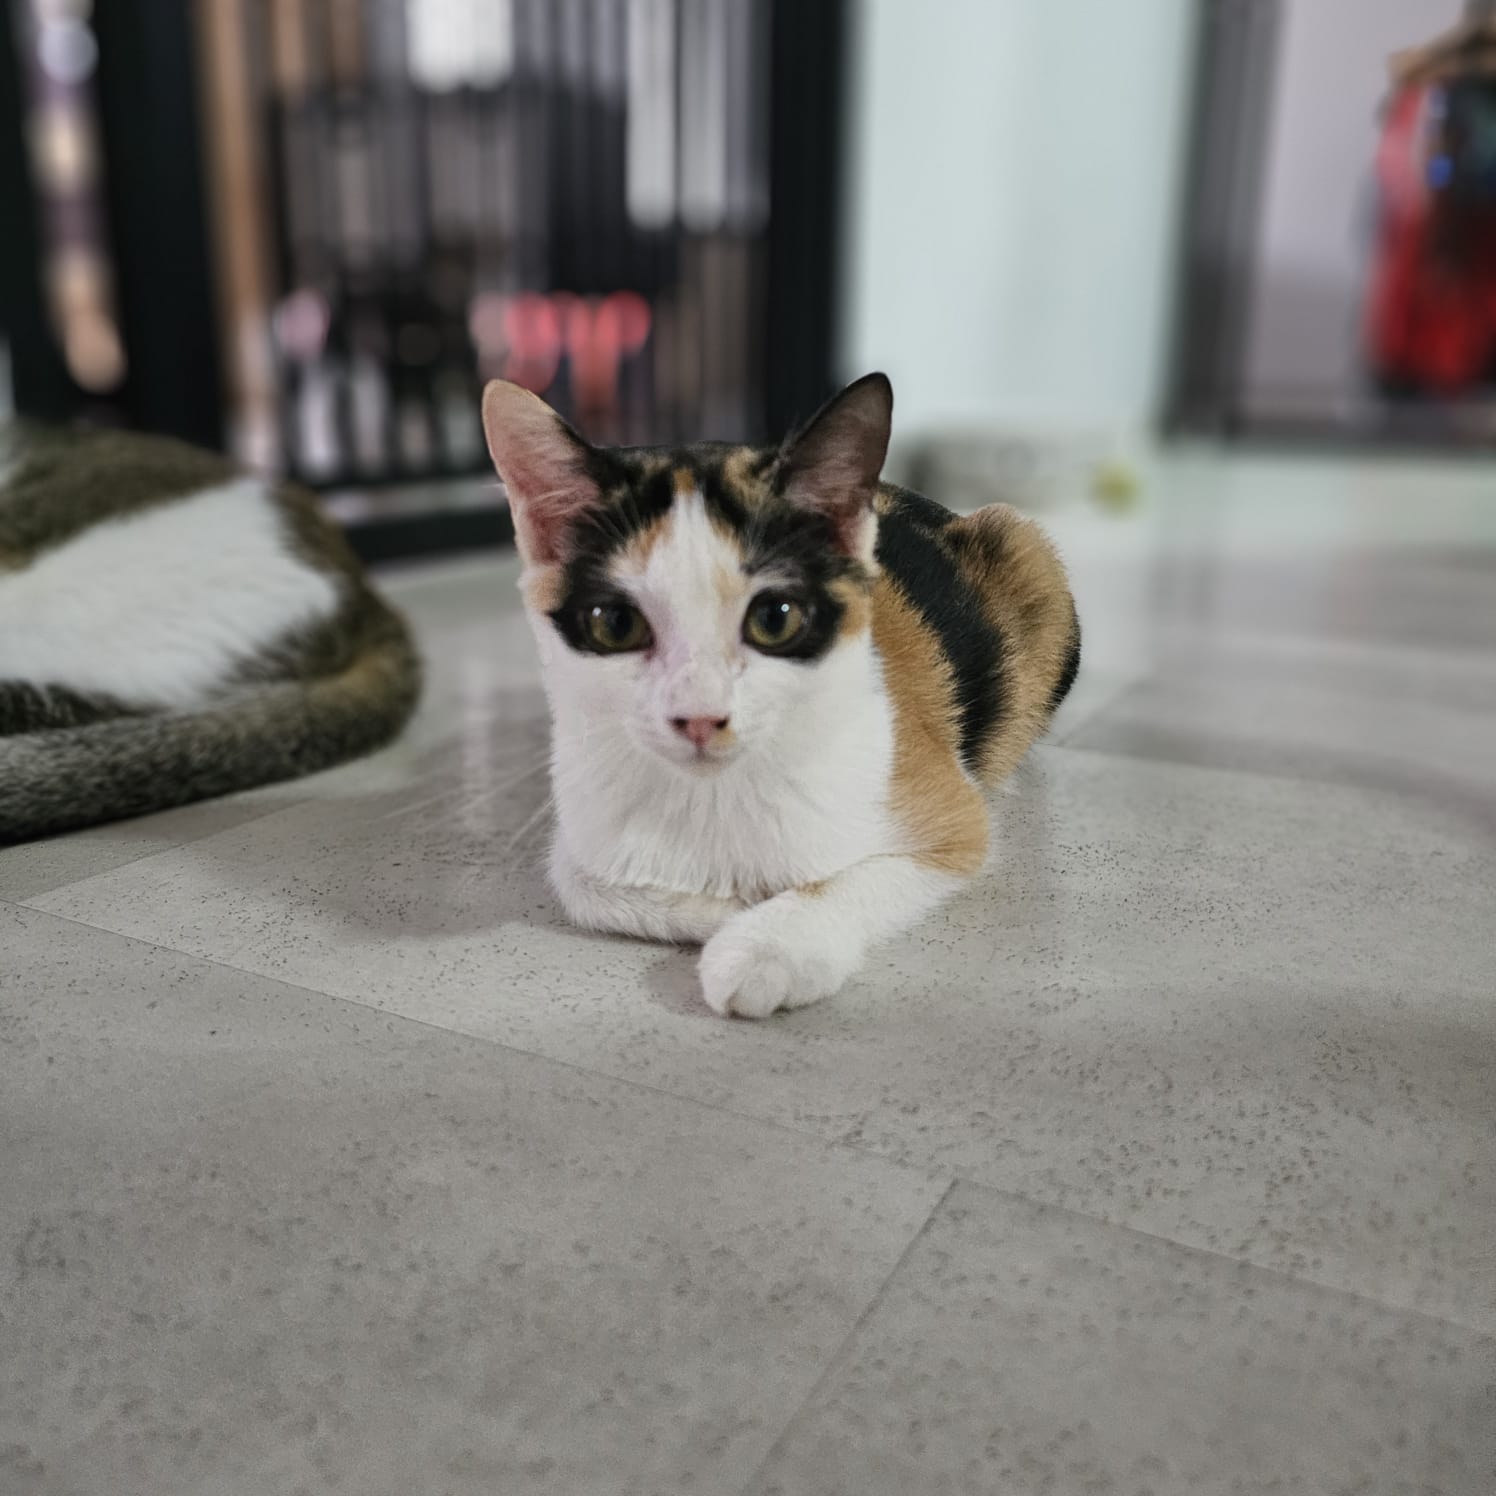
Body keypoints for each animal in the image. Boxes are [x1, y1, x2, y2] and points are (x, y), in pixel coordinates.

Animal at [481, 372, 1080, 1018]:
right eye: (615, 623)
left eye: (775, 618)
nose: (700, 718)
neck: (712, 796)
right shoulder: (585, 827)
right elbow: (579, 881)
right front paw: (735, 907)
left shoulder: (951, 813)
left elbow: (876, 867)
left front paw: (772, 945)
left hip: (1025, 548)